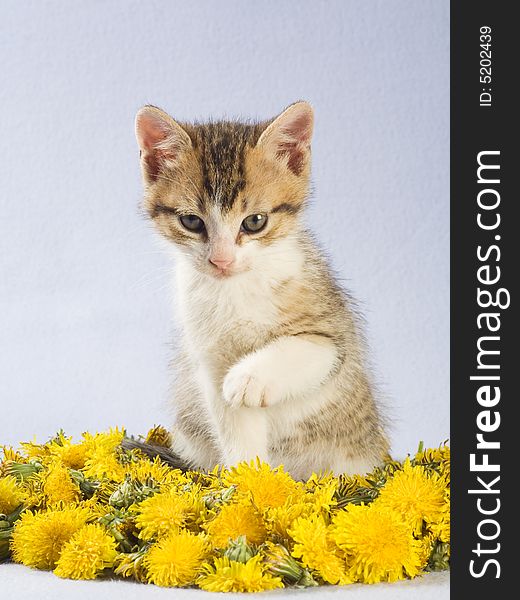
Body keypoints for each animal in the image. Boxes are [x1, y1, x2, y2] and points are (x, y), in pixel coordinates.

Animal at [132, 102, 388, 478]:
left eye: (254, 222)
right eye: (191, 221)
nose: (221, 260)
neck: (235, 291)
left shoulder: (336, 335)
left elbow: (309, 348)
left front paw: (249, 378)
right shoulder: (209, 360)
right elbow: (233, 423)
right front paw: (246, 479)